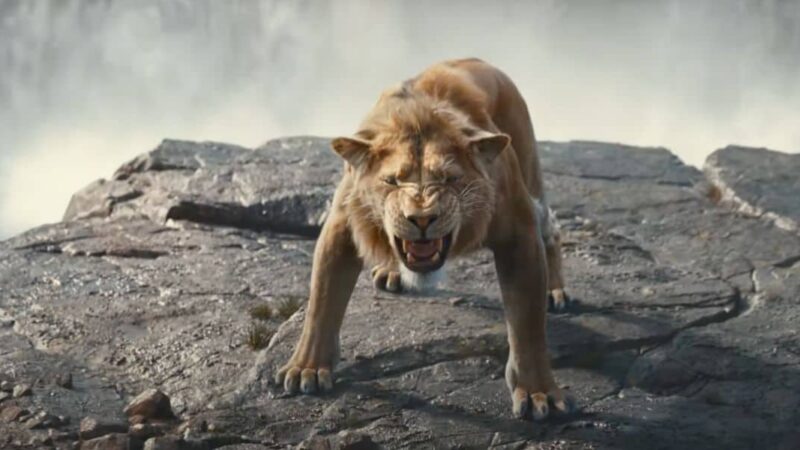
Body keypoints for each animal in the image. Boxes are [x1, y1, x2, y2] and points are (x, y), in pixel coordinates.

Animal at [275, 58, 573, 420]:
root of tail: (480, 61)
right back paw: (391, 272)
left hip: (530, 174)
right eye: (391, 181)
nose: (420, 218)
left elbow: (528, 325)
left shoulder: (519, 233)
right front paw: (306, 367)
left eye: (449, 179)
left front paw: (537, 392)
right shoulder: (343, 224)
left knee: (552, 229)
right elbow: (322, 302)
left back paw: (555, 291)